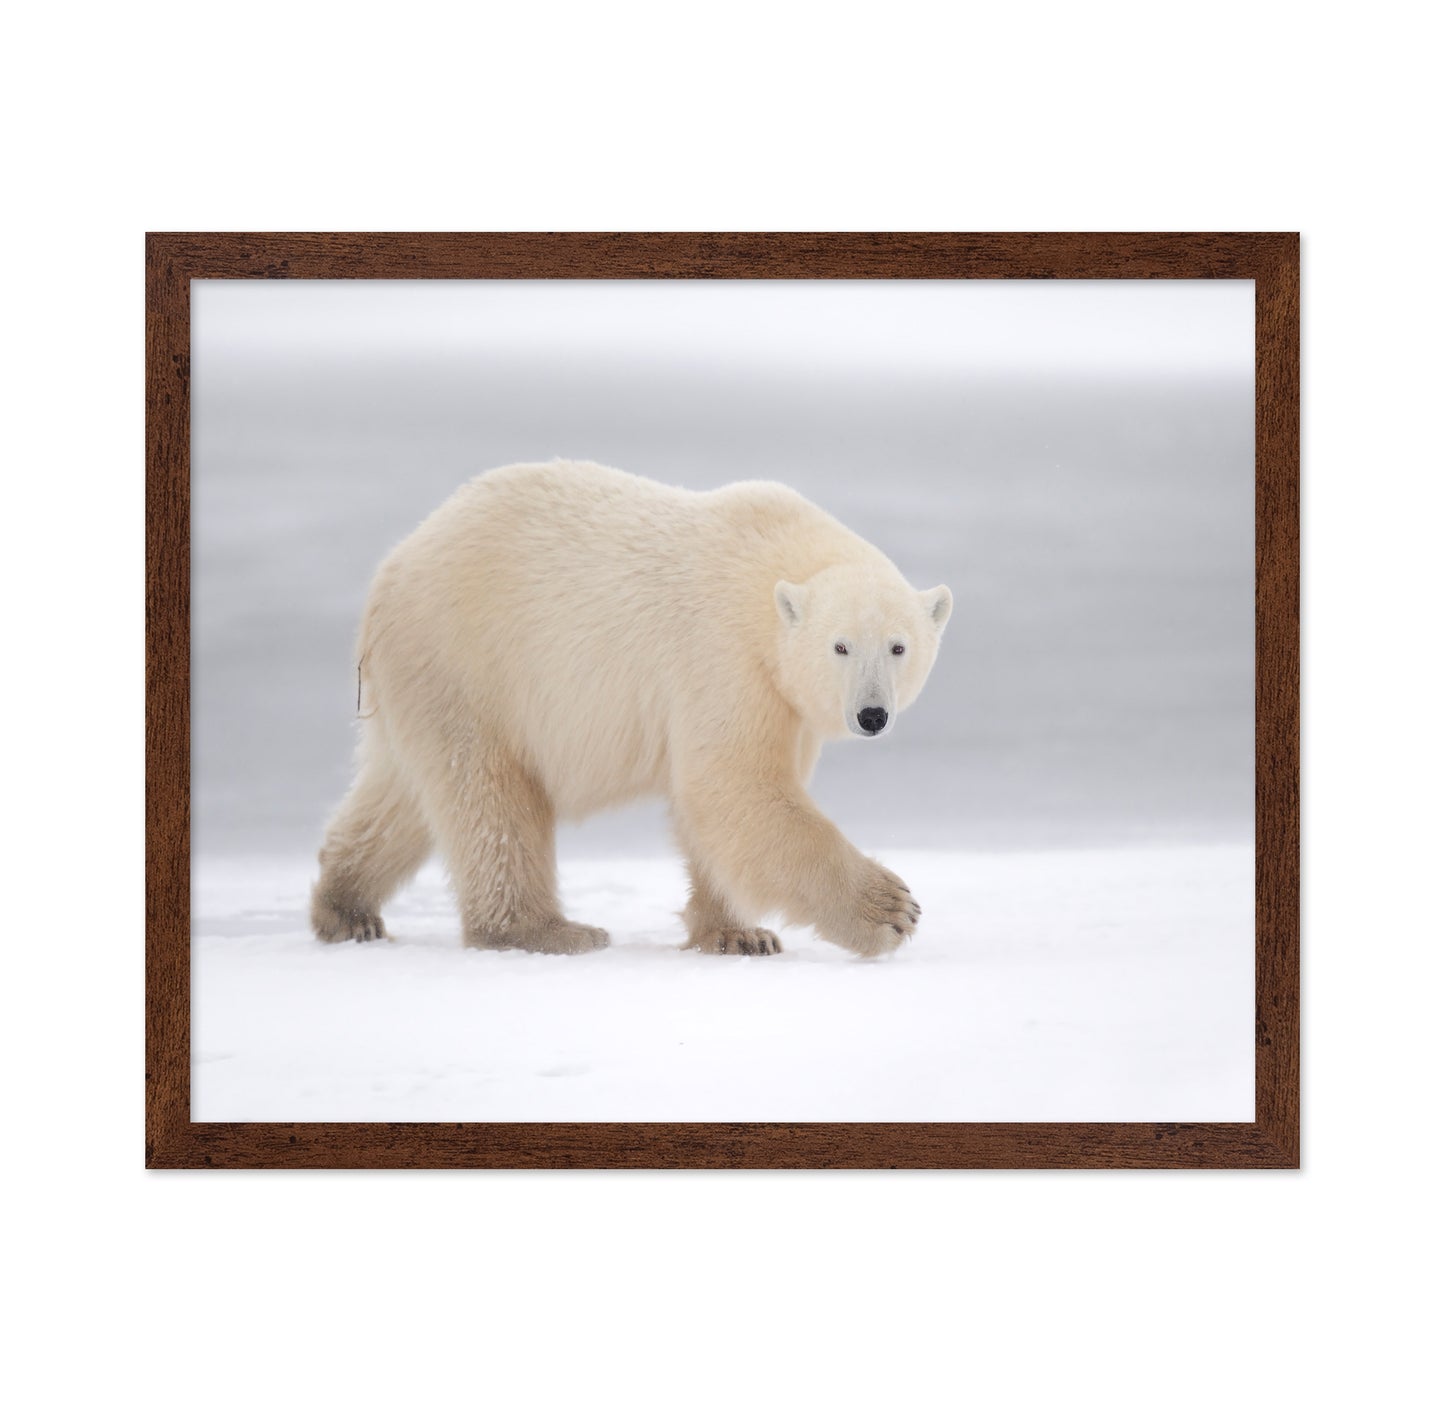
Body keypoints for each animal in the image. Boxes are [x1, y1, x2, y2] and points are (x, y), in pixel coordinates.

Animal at [311, 460, 952, 958]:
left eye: (898, 646)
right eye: (839, 646)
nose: (872, 715)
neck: (770, 567)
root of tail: (390, 573)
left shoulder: (784, 700)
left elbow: (721, 806)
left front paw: (739, 935)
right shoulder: (724, 656)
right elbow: (733, 785)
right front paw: (891, 909)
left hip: (426, 683)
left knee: (401, 797)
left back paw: (346, 908)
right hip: (472, 663)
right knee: (491, 802)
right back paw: (550, 931)